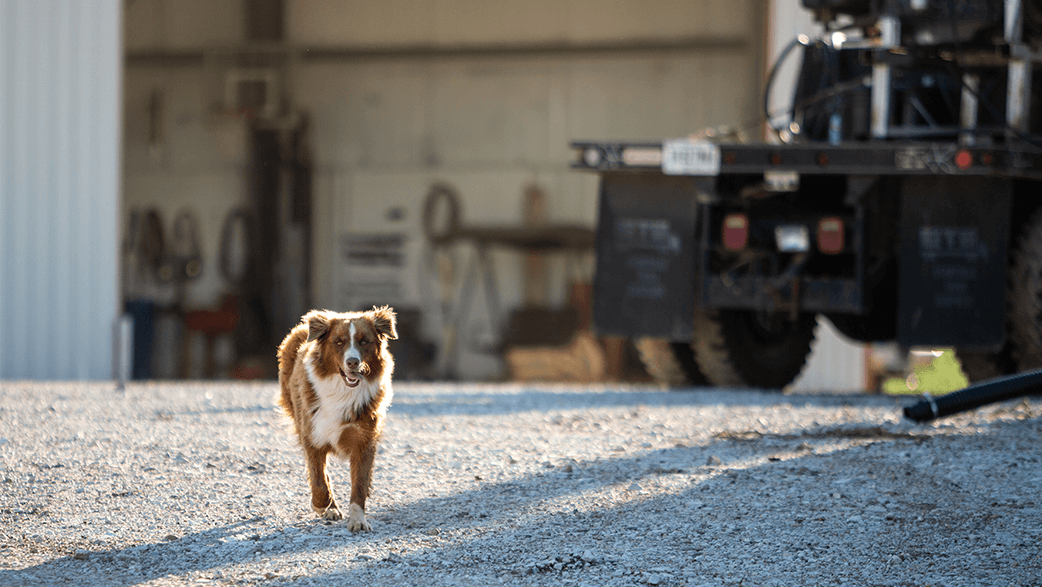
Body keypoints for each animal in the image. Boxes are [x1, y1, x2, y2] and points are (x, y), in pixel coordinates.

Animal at [275, 308, 395, 533]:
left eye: (364, 341)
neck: (343, 391)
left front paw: (357, 519)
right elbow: (318, 480)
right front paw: (323, 505)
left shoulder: (364, 441)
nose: (352, 362)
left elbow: (359, 484)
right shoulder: (313, 434)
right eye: (338, 342)